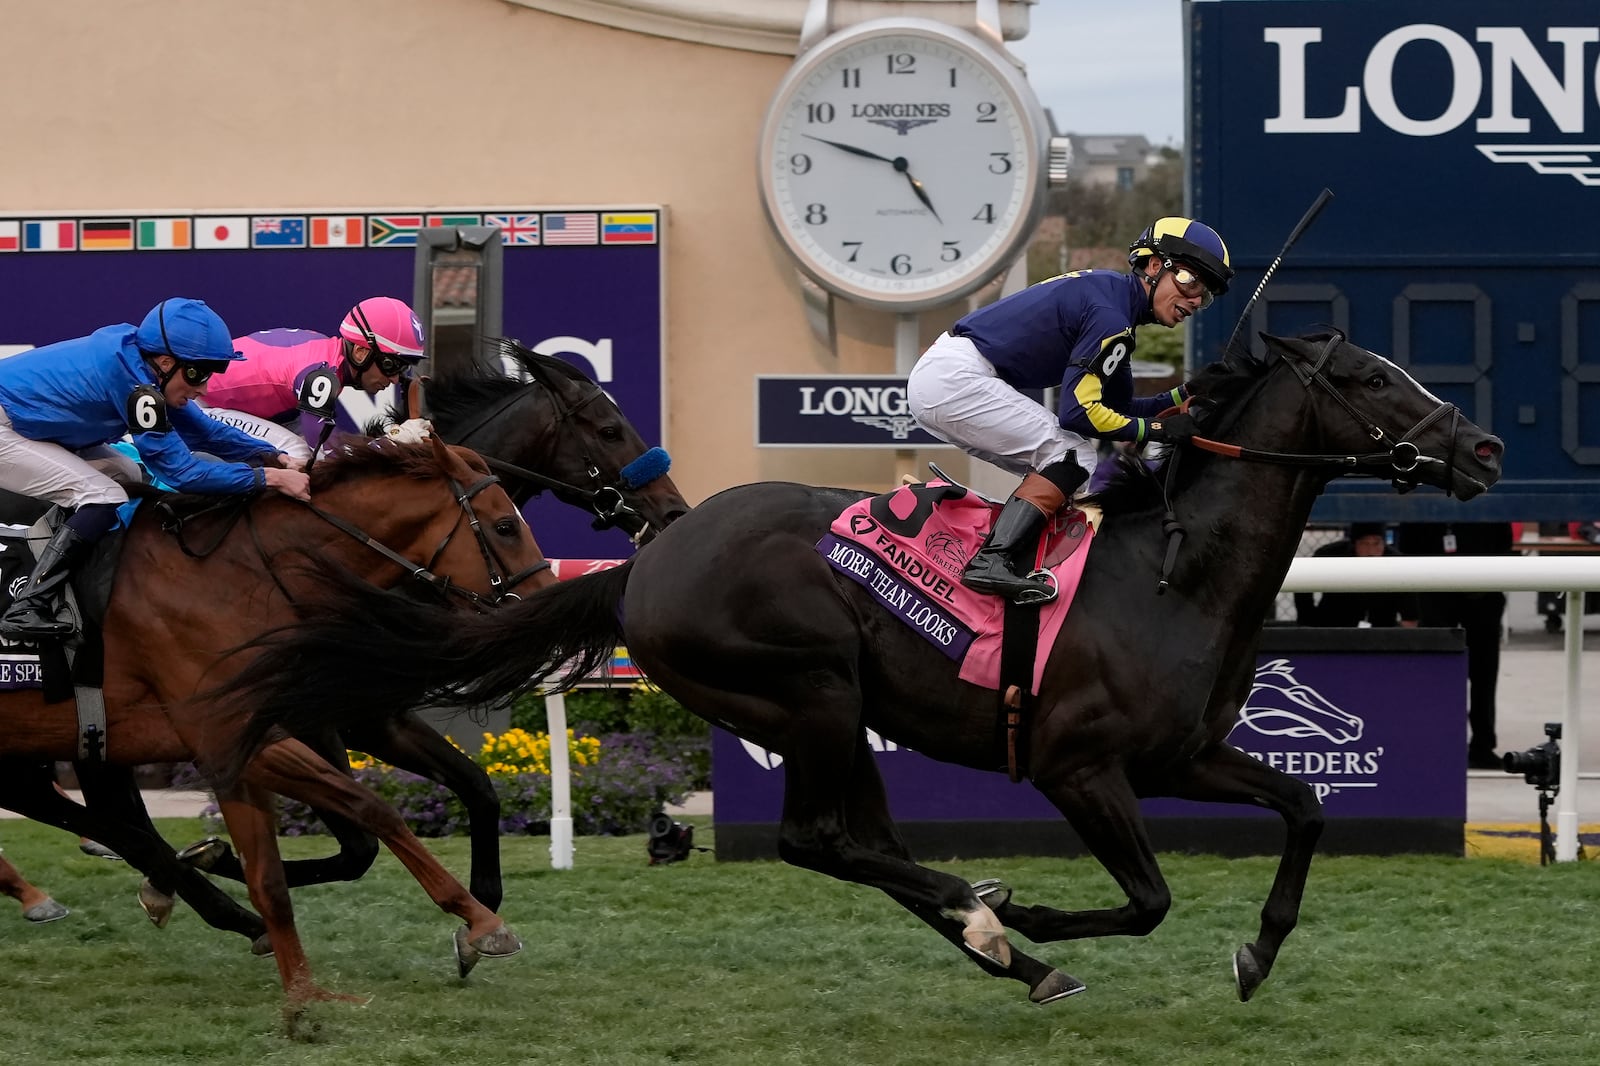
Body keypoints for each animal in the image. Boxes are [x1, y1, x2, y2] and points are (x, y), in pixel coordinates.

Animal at [0, 428, 553, 998]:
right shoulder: (241, 732)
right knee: (115, 825)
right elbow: (371, 812)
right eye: (506, 526)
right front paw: (481, 922)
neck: (243, 574)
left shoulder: (336, 718)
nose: (546, 604)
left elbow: (467, 789)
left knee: (102, 820)